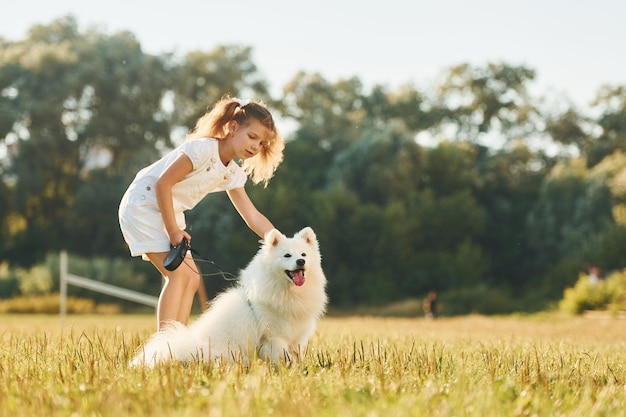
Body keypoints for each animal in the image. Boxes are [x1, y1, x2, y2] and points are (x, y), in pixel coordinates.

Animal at [130, 226, 330, 366]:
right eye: (287, 255)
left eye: (304, 254)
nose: (301, 261)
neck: (289, 292)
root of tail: (192, 345)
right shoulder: (274, 336)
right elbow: (282, 357)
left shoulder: (297, 336)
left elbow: (297, 356)